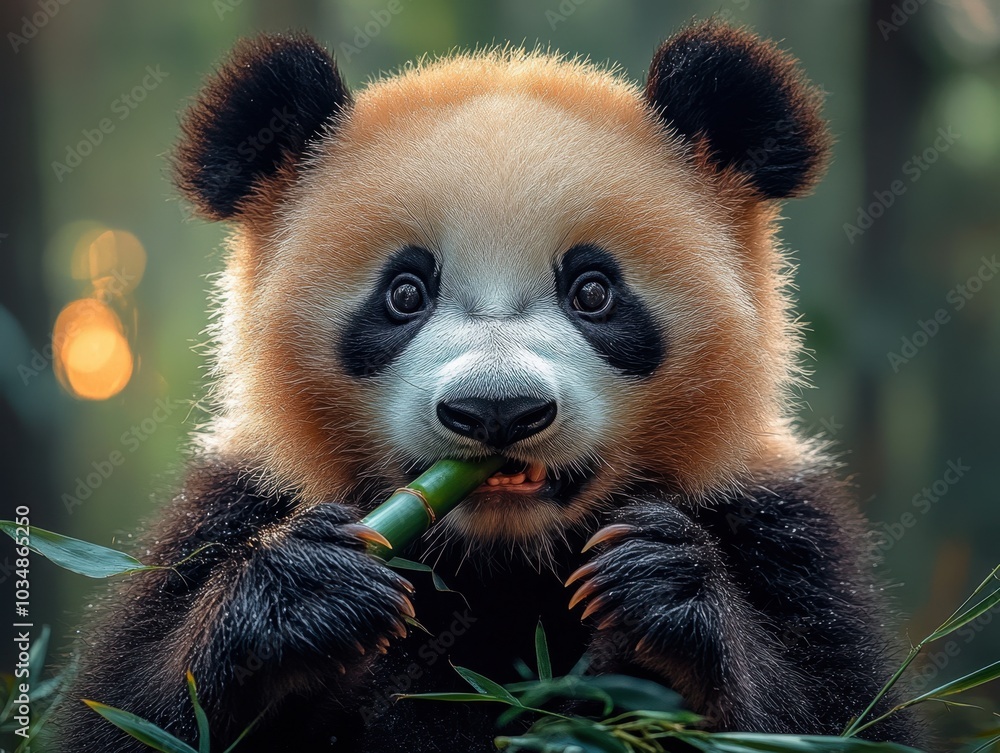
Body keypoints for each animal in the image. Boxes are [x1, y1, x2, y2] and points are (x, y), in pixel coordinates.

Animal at [55, 20, 923, 753]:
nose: (497, 411)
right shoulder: (229, 508)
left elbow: (837, 713)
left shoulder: (781, 533)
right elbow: (138, 708)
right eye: (405, 293)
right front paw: (306, 590)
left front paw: (657, 588)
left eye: (593, 291)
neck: (502, 557)